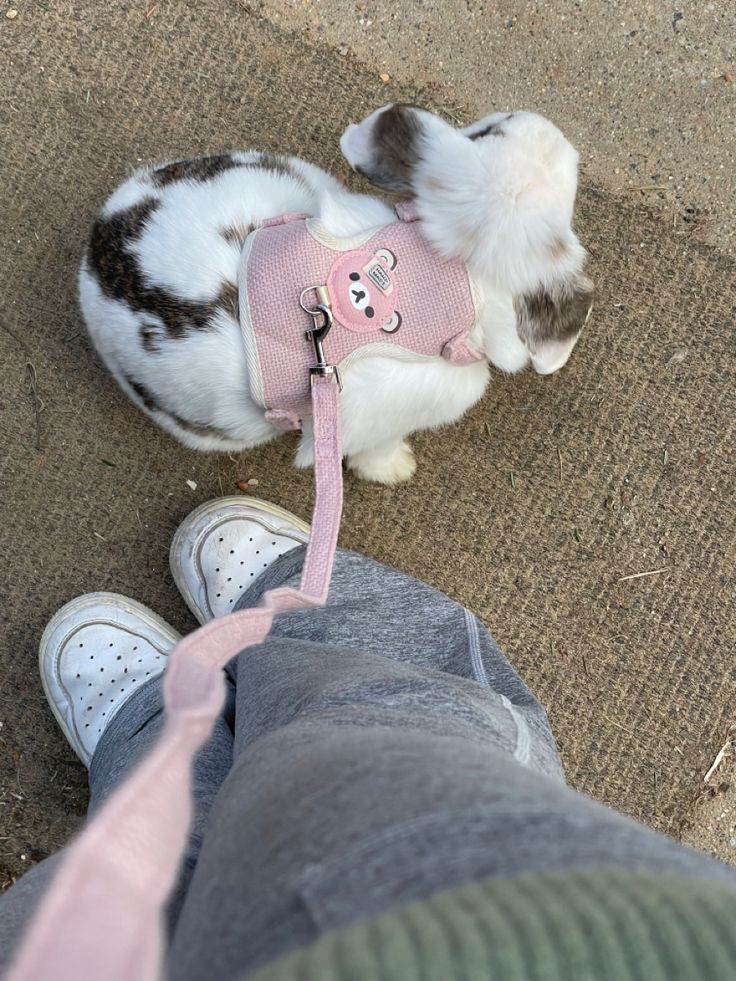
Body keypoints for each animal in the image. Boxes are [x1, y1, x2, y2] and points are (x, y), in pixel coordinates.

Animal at [77, 105, 592, 484]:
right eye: (488, 131)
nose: (548, 129)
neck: (444, 279)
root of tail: (95, 250)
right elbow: (376, 449)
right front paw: (397, 469)